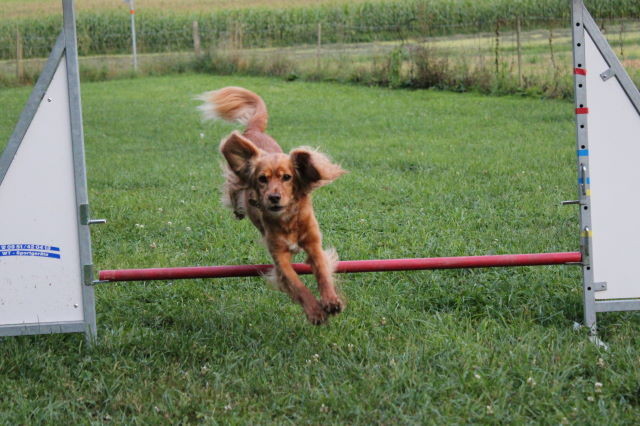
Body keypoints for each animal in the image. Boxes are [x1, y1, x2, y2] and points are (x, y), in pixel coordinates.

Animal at [197, 86, 346, 324]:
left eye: (287, 177)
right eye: (262, 179)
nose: (274, 197)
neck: (288, 220)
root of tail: (253, 131)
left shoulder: (313, 243)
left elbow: (322, 271)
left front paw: (331, 300)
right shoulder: (279, 256)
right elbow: (295, 283)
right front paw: (314, 310)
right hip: (236, 179)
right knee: (233, 190)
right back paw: (238, 209)